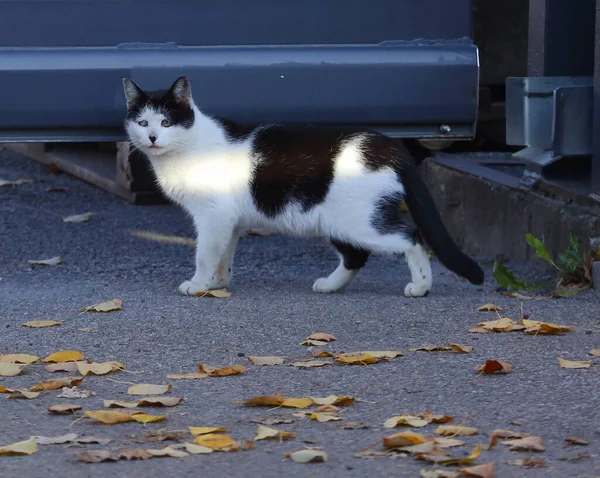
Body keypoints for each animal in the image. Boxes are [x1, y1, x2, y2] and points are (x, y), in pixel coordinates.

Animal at [122, 75, 482, 296]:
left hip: (358, 221)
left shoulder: (213, 215)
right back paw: (330, 285)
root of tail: (388, 144)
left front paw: (198, 284)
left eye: (166, 122)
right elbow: (224, 255)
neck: (188, 146)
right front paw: (217, 284)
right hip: (339, 221)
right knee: (356, 256)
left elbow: (206, 253)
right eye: (142, 122)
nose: (152, 137)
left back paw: (420, 286)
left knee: (410, 237)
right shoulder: (229, 221)